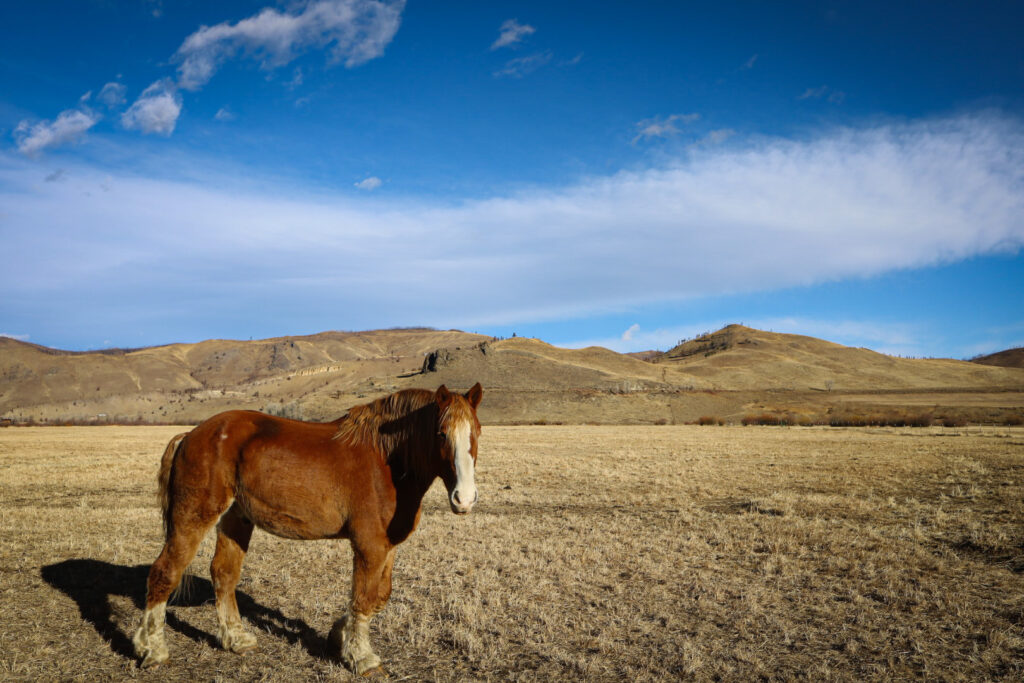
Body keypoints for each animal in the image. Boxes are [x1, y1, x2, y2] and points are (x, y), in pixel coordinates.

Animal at [133, 382, 483, 675]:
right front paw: (362, 657)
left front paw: (339, 636)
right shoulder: (369, 545)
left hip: (235, 519)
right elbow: (363, 597)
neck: (386, 460)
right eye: (441, 434)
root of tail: (191, 435)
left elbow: (379, 596)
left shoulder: (389, 545)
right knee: (165, 572)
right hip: (194, 515)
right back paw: (153, 650)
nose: (464, 499)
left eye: (477, 432)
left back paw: (236, 640)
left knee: (224, 574)